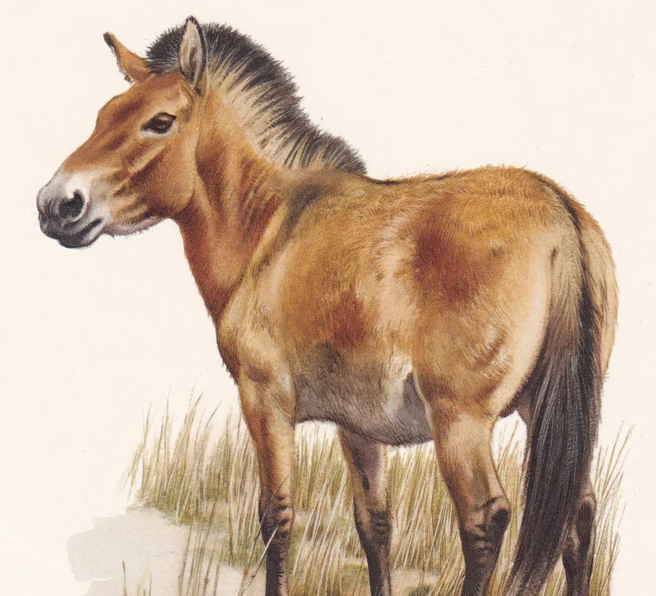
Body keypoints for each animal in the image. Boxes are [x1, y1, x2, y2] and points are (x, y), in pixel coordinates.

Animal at [37, 17, 617, 596]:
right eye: (103, 115)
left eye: (160, 122)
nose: (55, 205)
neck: (266, 229)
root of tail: (560, 213)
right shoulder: (358, 426)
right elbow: (374, 525)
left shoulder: (264, 400)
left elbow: (276, 518)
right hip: (543, 408)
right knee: (579, 514)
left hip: (462, 422)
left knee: (485, 519)